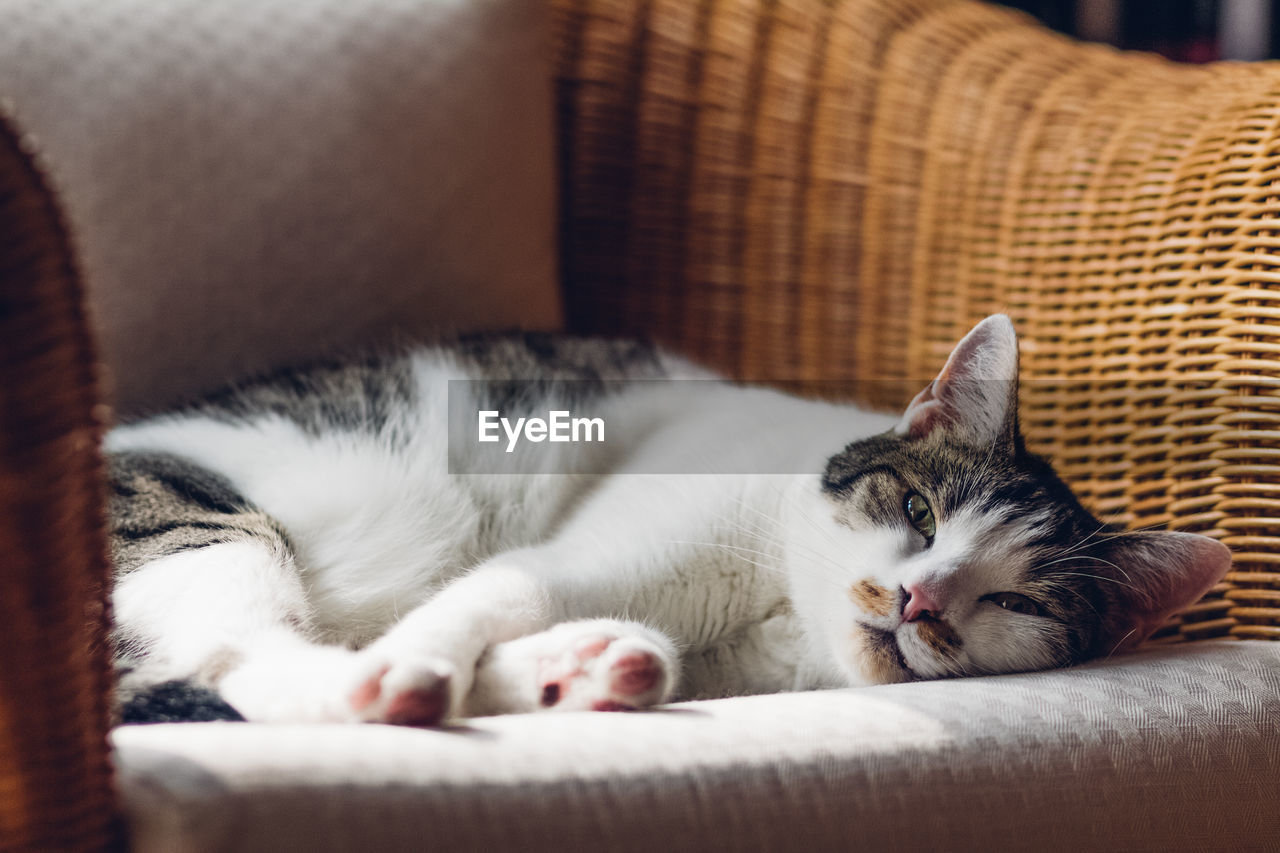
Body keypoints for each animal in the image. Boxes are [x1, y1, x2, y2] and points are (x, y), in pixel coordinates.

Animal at [110, 313, 1228, 722]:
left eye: (1015, 601)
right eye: (917, 510)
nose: (918, 601)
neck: (778, 614)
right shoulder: (593, 550)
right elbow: (493, 591)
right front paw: (414, 661)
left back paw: (593, 668)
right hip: (200, 523)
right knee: (237, 660)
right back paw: (399, 687)